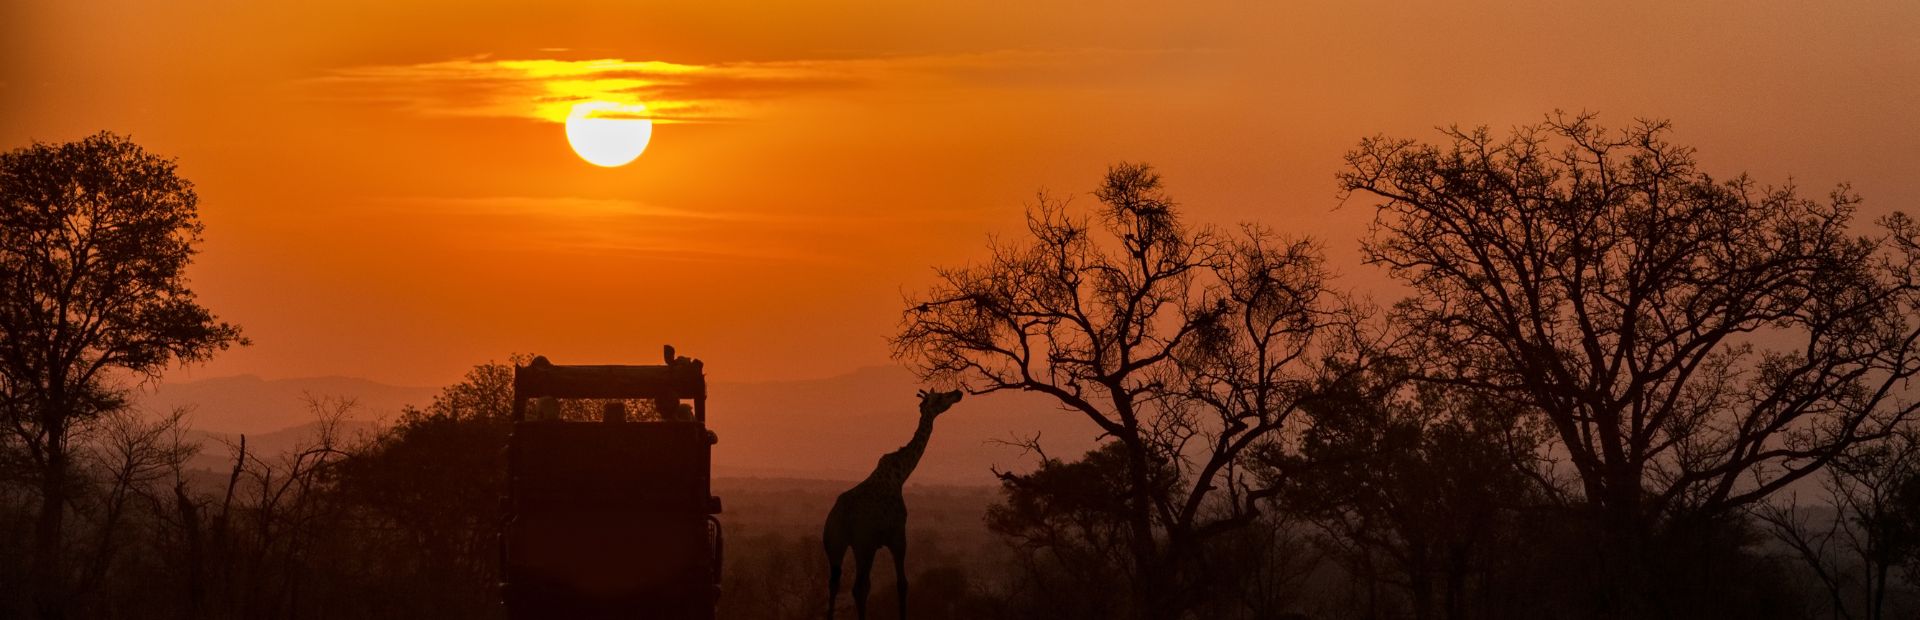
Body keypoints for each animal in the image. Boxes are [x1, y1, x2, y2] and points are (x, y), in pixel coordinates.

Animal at [822, 388, 964, 620]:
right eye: (941, 397)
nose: (958, 393)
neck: (900, 475)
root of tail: (840, 518)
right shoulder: (898, 536)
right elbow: (902, 584)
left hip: (834, 543)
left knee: (834, 584)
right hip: (863, 545)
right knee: (858, 587)